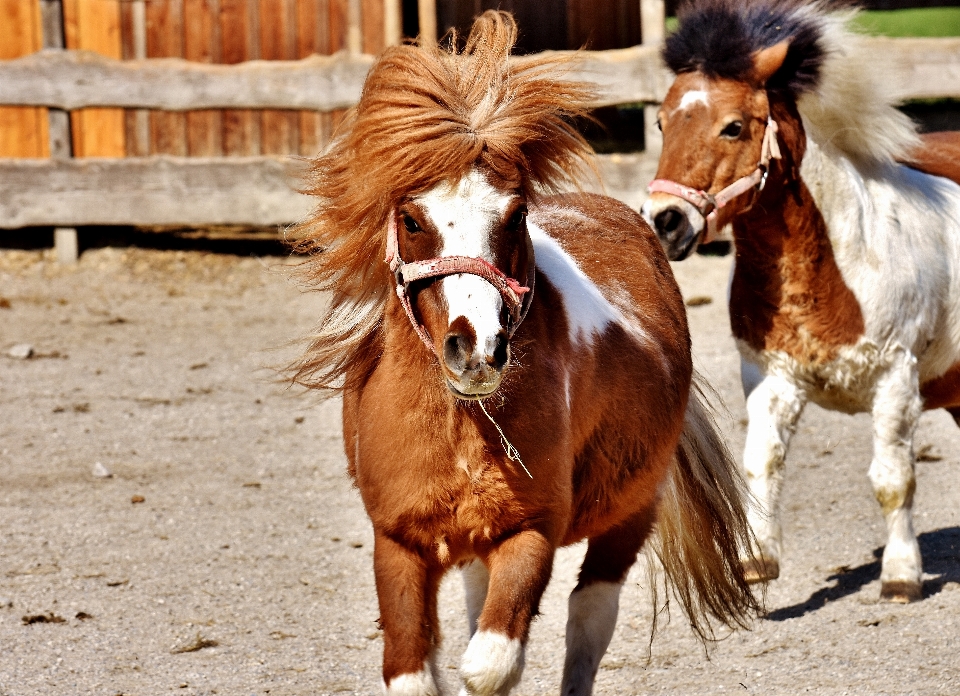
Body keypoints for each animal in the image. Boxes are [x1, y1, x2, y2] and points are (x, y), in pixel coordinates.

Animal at [290, 10, 756, 696]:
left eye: (514, 216)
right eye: (411, 219)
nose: (478, 347)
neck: (460, 426)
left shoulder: (530, 532)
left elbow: (489, 666)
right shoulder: (399, 544)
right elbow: (414, 670)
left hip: (629, 513)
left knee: (589, 616)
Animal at [640, 0, 960, 604]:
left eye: (734, 126)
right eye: (663, 122)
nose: (665, 221)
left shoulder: (896, 378)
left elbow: (893, 480)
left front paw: (901, 576)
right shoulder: (772, 378)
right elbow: (761, 464)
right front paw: (758, 560)